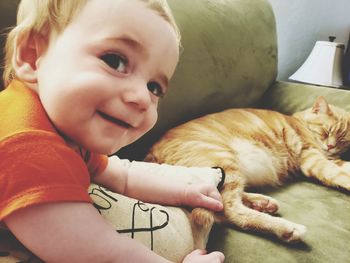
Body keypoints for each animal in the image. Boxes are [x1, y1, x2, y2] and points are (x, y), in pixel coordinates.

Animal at [144, 97, 350, 250]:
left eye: (342, 140)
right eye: (326, 131)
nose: (330, 146)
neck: (301, 122)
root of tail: (150, 155)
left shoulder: (330, 159)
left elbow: (343, 167)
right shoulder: (312, 159)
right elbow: (338, 174)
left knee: (220, 208)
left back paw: (263, 203)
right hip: (224, 162)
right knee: (230, 210)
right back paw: (287, 229)